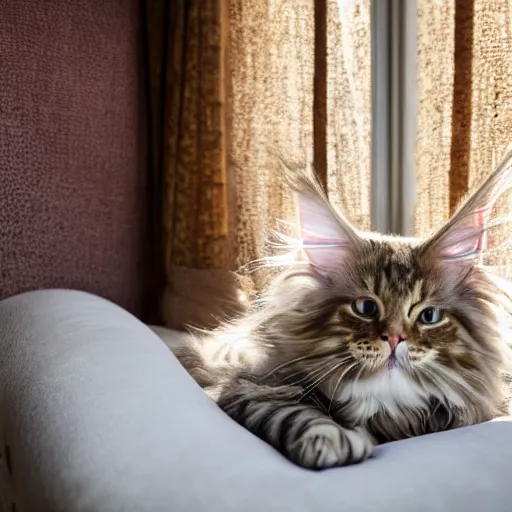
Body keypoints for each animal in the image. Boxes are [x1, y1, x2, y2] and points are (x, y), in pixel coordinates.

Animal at [167, 154, 512, 470]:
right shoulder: (246, 384)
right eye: (365, 307)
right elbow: (291, 411)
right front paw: (332, 440)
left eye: (429, 316)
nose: (394, 338)